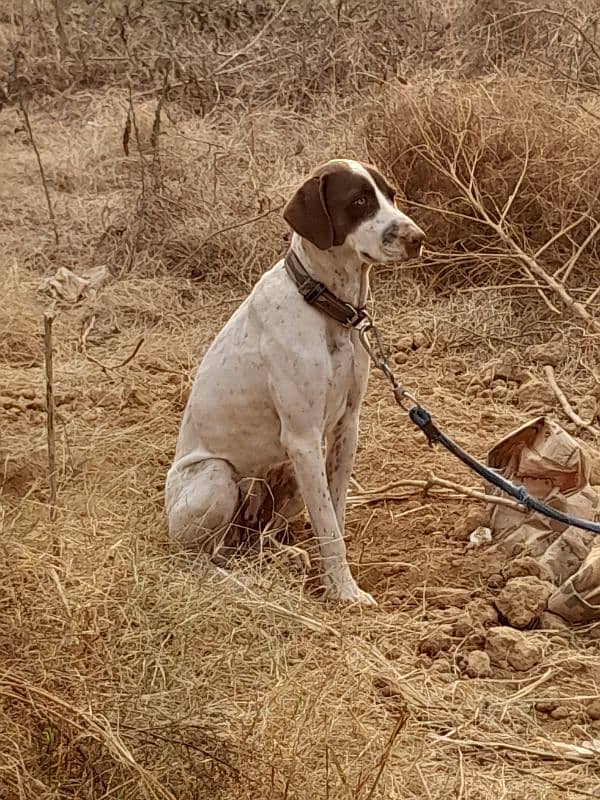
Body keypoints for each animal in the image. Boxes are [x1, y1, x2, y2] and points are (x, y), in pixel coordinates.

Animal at [166, 159, 424, 604]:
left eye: (391, 195)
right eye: (359, 201)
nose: (418, 239)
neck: (326, 307)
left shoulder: (345, 427)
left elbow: (332, 514)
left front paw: (333, 580)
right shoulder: (303, 439)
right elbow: (328, 527)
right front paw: (346, 592)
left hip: (284, 471)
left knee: (252, 542)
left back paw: (282, 557)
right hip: (218, 476)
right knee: (201, 559)